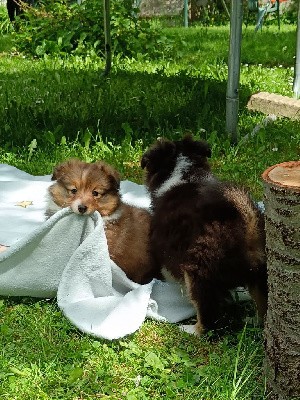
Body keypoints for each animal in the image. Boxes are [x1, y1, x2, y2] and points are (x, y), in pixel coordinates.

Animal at [141, 136, 268, 332]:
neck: (184, 174)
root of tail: (245, 221)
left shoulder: (164, 244)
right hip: (260, 269)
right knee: (263, 303)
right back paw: (254, 321)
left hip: (199, 268)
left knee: (208, 314)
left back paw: (191, 329)